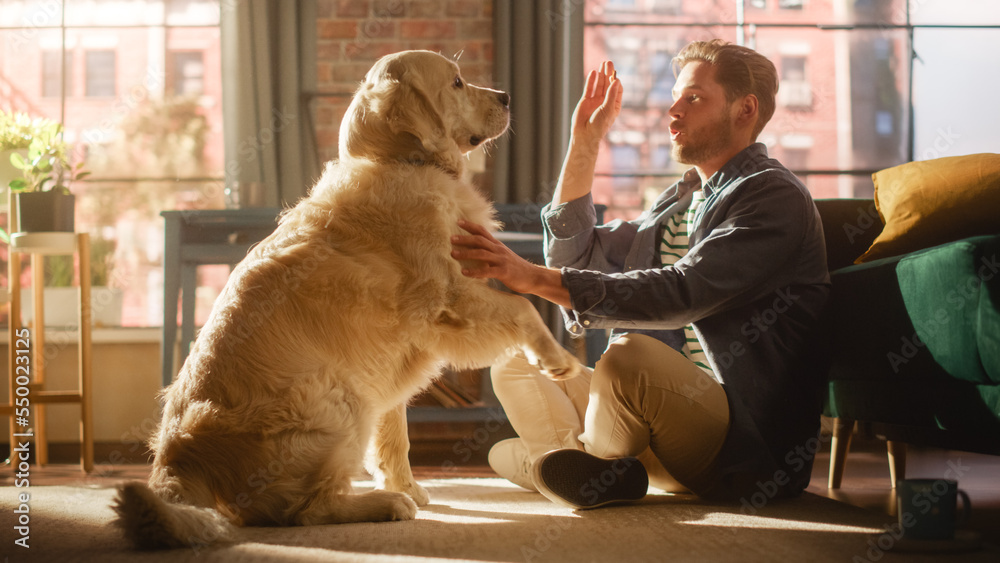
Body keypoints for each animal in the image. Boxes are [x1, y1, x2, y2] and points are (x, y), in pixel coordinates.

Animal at [113, 49, 584, 552]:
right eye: (457, 82)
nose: (506, 97)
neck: (402, 160)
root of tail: (176, 458)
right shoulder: (446, 298)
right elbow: (522, 306)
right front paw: (556, 359)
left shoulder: (393, 359)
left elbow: (396, 435)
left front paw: (407, 483)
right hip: (339, 399)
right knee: (298, 510)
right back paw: (383, 506)